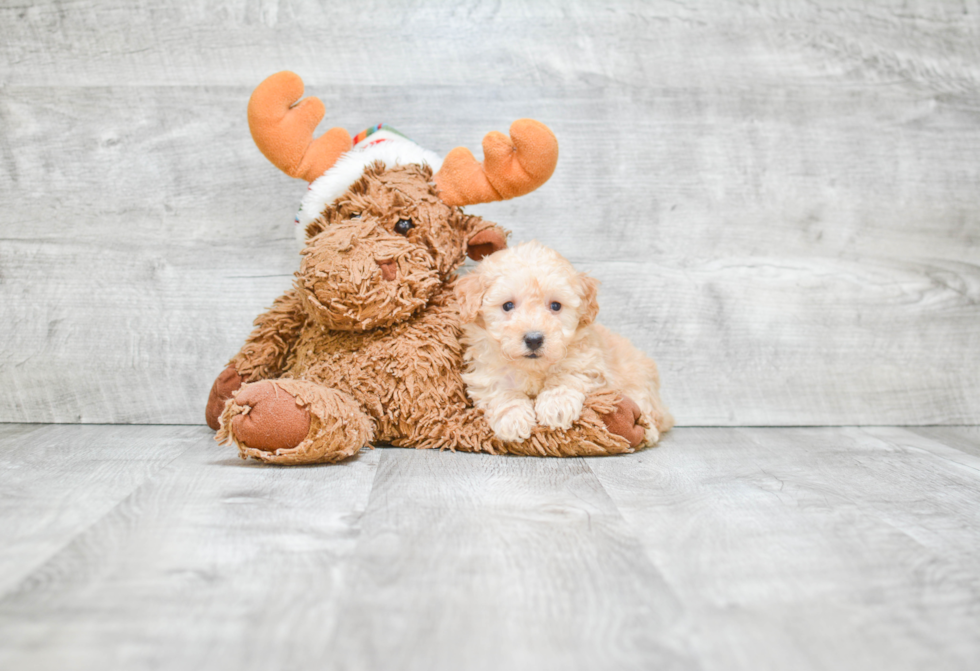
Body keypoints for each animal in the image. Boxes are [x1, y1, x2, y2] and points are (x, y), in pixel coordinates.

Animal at [454, 239, 668, 448]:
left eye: (556, 306)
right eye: (507, 305)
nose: (534, 339)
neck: (533, 368)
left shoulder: (587, 360)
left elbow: (566, 375)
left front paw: (556, 405)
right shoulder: (488, 373)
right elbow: (503, 392)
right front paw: (513, 418)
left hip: (640, 384)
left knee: (650, 412)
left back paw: (647, 432)